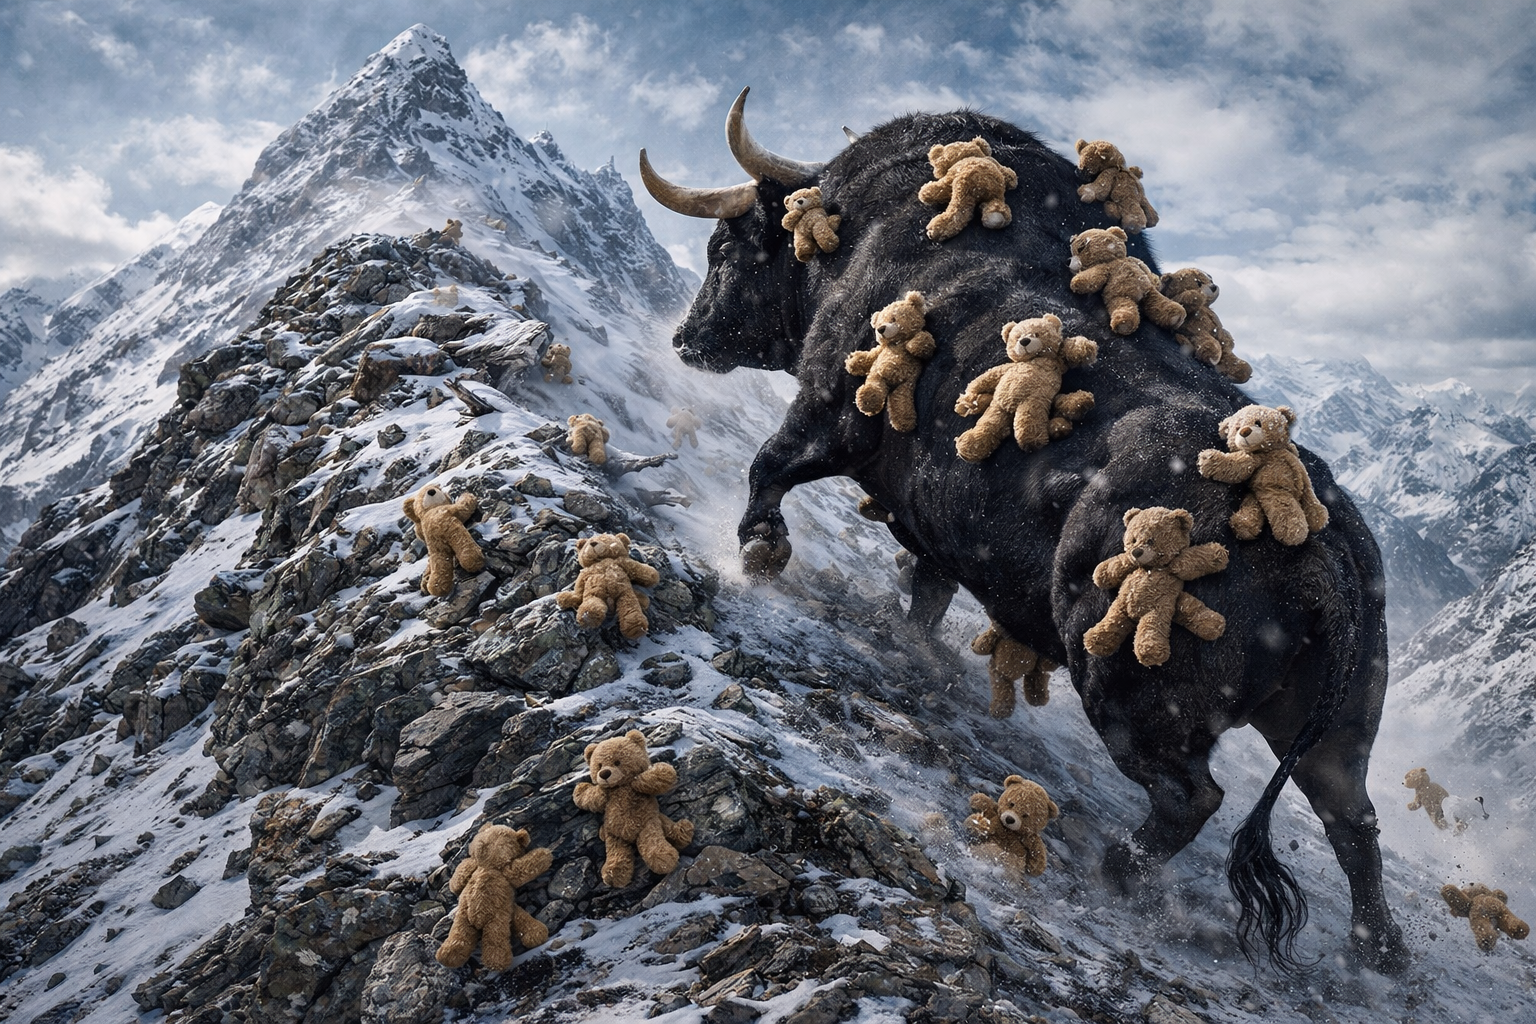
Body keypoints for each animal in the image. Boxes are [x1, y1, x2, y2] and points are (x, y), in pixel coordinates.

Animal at [640, 89, 1410, 975]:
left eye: (725, 246)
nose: (684, 338)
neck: (858, 236)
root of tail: (1324, 555)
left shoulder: (832, 412)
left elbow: (771, 465)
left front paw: (761, 552)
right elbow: (927, 585)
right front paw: (914, 641)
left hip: (1127, 686)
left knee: (1193, 796)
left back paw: (1118, 869)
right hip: (1339, 725)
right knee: (1352, 820)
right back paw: (1377, 951)